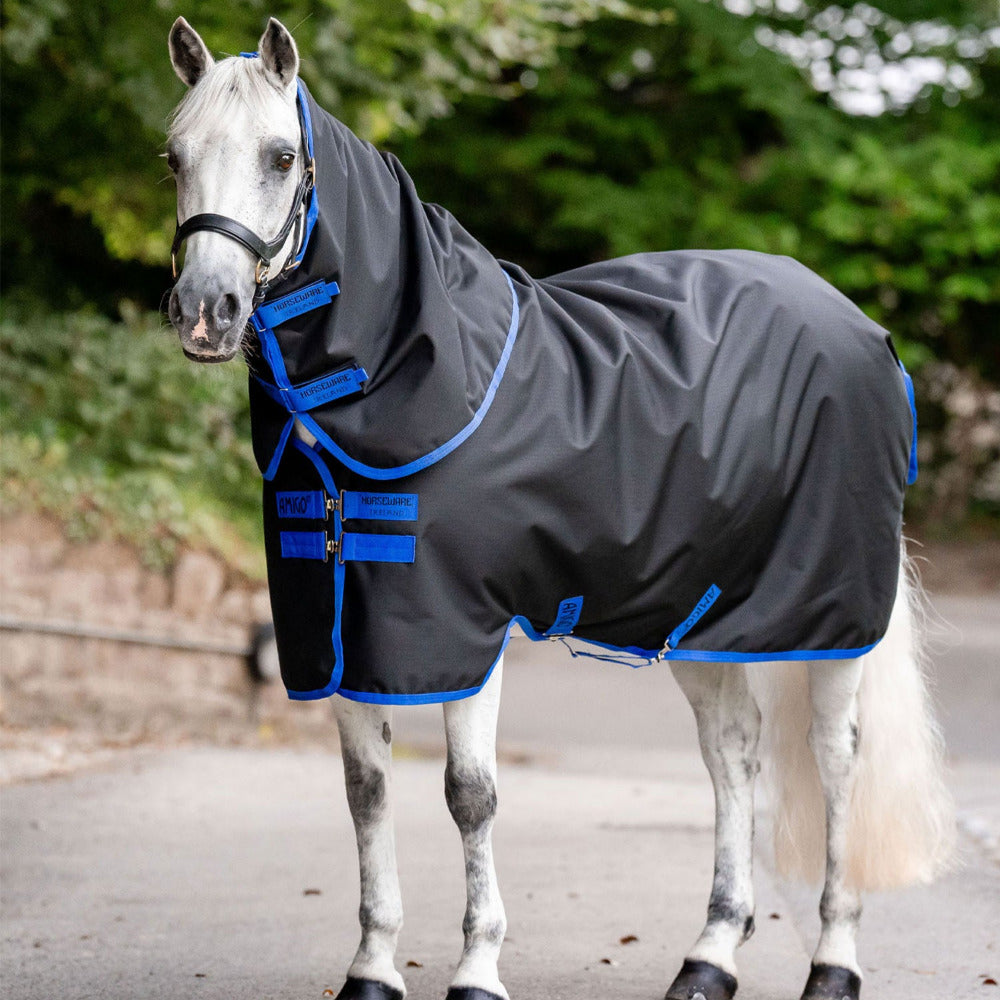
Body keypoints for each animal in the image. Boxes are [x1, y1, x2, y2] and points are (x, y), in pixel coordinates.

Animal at [164, 17, 955, 1000]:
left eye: (279, 156)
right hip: (700, 611)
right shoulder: (341, 629)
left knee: (838, 757)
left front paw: (476, 969)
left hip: (832, 614)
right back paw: (709, 958)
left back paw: (834, 963)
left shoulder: (461, 628)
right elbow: (366, 793)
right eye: (173, 156)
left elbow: (471, 795)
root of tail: (865, 331)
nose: (206, 310)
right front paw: (373, 969)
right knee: (733, 751)